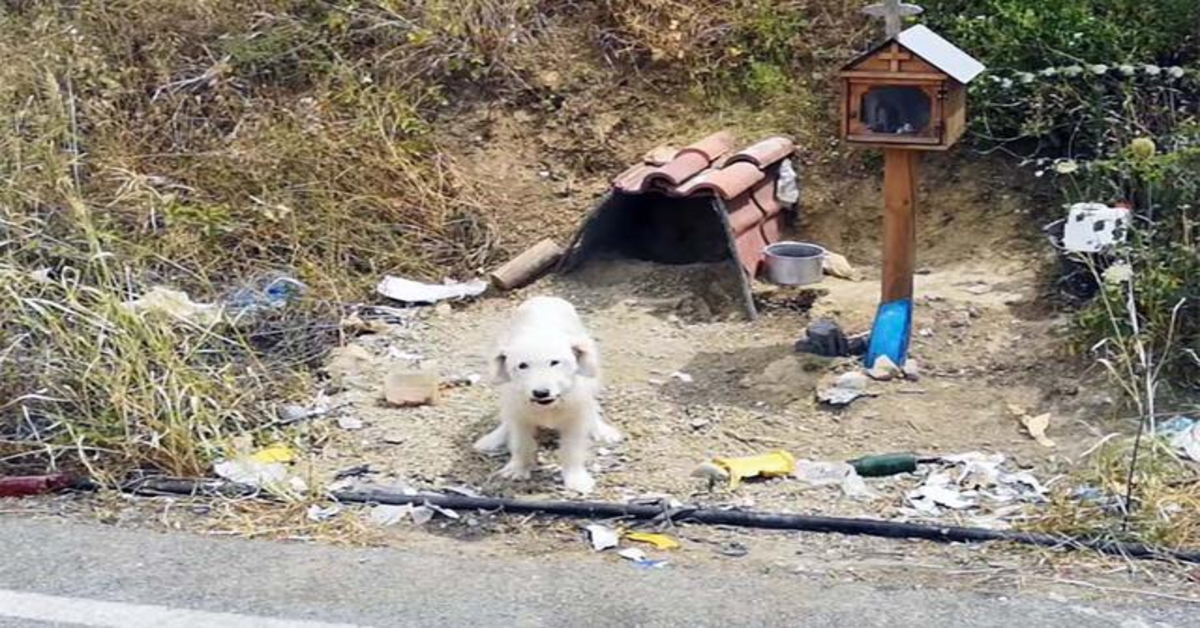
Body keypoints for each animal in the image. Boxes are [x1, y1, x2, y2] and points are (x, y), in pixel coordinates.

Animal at [470, 297, 619, 494]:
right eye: (522, 366)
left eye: (554, 362)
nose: (541, 393)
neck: (549, 406)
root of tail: (545, 297)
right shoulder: (519, 415)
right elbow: (521, 442)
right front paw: (518, 468)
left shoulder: (576, 418)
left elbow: (573, 449)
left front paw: (576, 478)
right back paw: (493, 438)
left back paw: (602, 430)